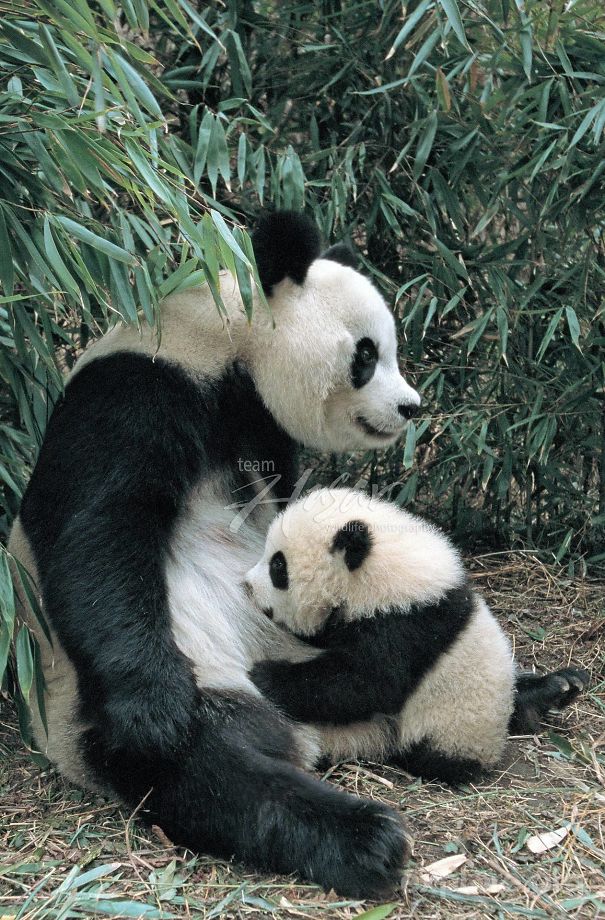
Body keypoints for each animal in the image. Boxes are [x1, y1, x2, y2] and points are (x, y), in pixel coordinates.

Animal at [246, 487, 590, 783]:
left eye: (278, 567)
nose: (247, 586)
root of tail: (487, 753)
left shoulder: (402, 626)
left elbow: (365, 684)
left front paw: (266, 675)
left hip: (444, 729)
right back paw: (556, 689)